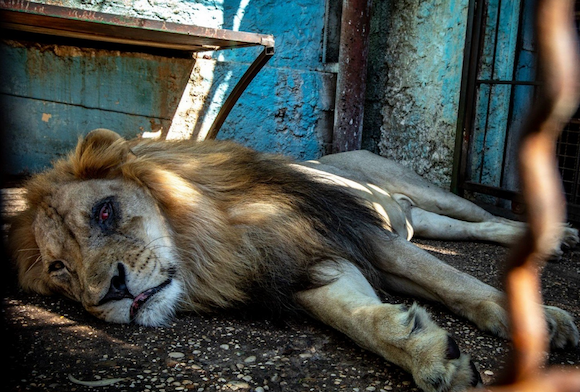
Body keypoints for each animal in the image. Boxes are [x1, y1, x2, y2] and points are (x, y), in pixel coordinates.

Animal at [9, 129, 580, 392]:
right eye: (60, 269)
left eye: (105, 212)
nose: (109, 292)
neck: (211, 243)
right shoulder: (301, 266)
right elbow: (358, 319)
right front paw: (428, 353)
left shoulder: (356, 232)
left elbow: (447, 276)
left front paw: (535, 319)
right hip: (421, 219)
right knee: (476, 229)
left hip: (422, 193)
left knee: (477, 215)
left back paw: (556, 236)